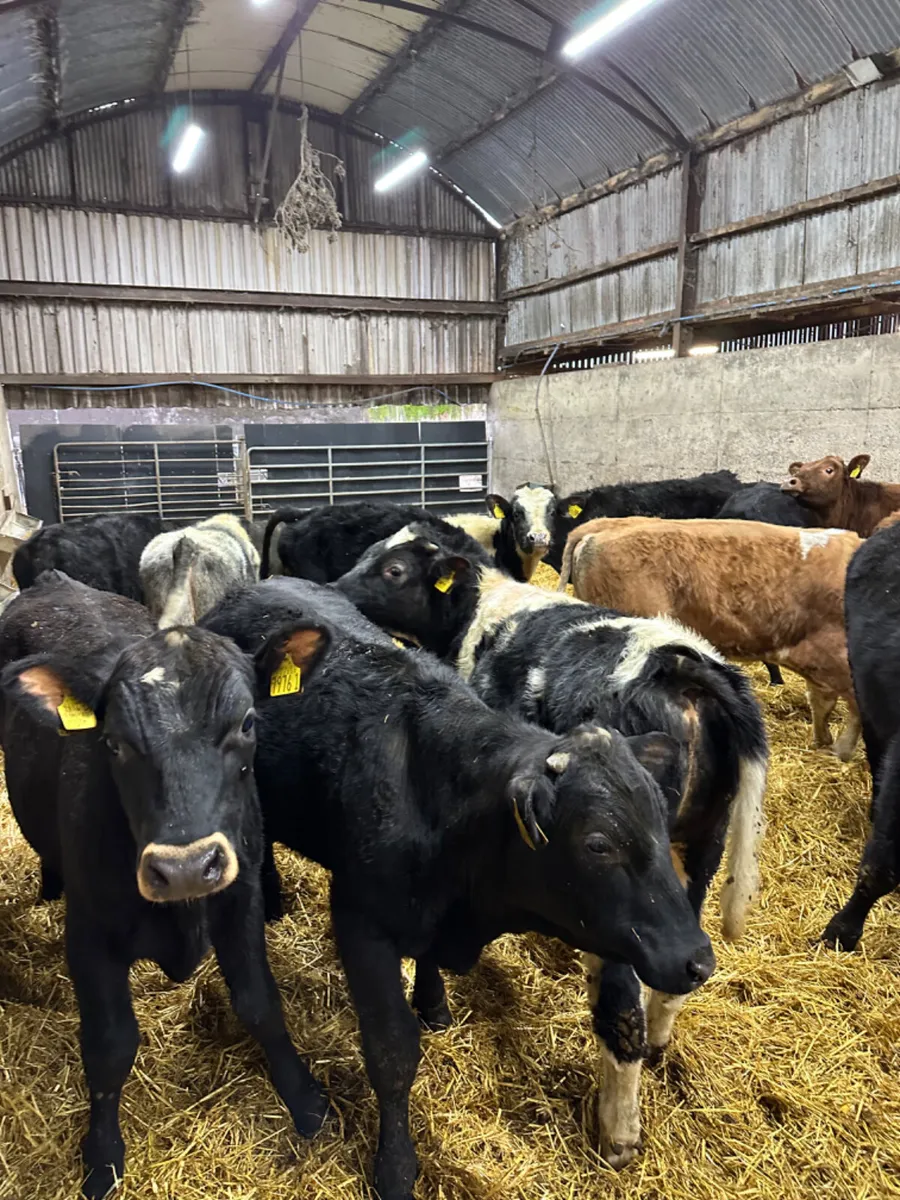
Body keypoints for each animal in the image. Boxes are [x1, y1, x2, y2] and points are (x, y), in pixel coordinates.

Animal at [0, 572, 329, 1198]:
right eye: (114, 741)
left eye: (247, 723)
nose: (185, 866)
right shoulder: (90, 935)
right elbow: (109, 1046)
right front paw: (102, 1154)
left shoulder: (240, 900)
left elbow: (260, 1004)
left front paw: (305, 1099)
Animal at [202, 577, 714, 1199]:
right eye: (598, 844)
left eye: (663, 824)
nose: (698, 959)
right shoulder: (360, 923)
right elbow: (392, 1054)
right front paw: (396, 1167)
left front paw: (433, 1003)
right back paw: (272, 897)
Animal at [333, 533, 766, 1167]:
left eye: (392, 569)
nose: (335, 588)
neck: (480, 612)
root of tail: (681, 664)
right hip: (698, 852)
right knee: (672, 976)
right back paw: (660, 1042)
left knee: (622, 1010)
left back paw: (617, 1132)